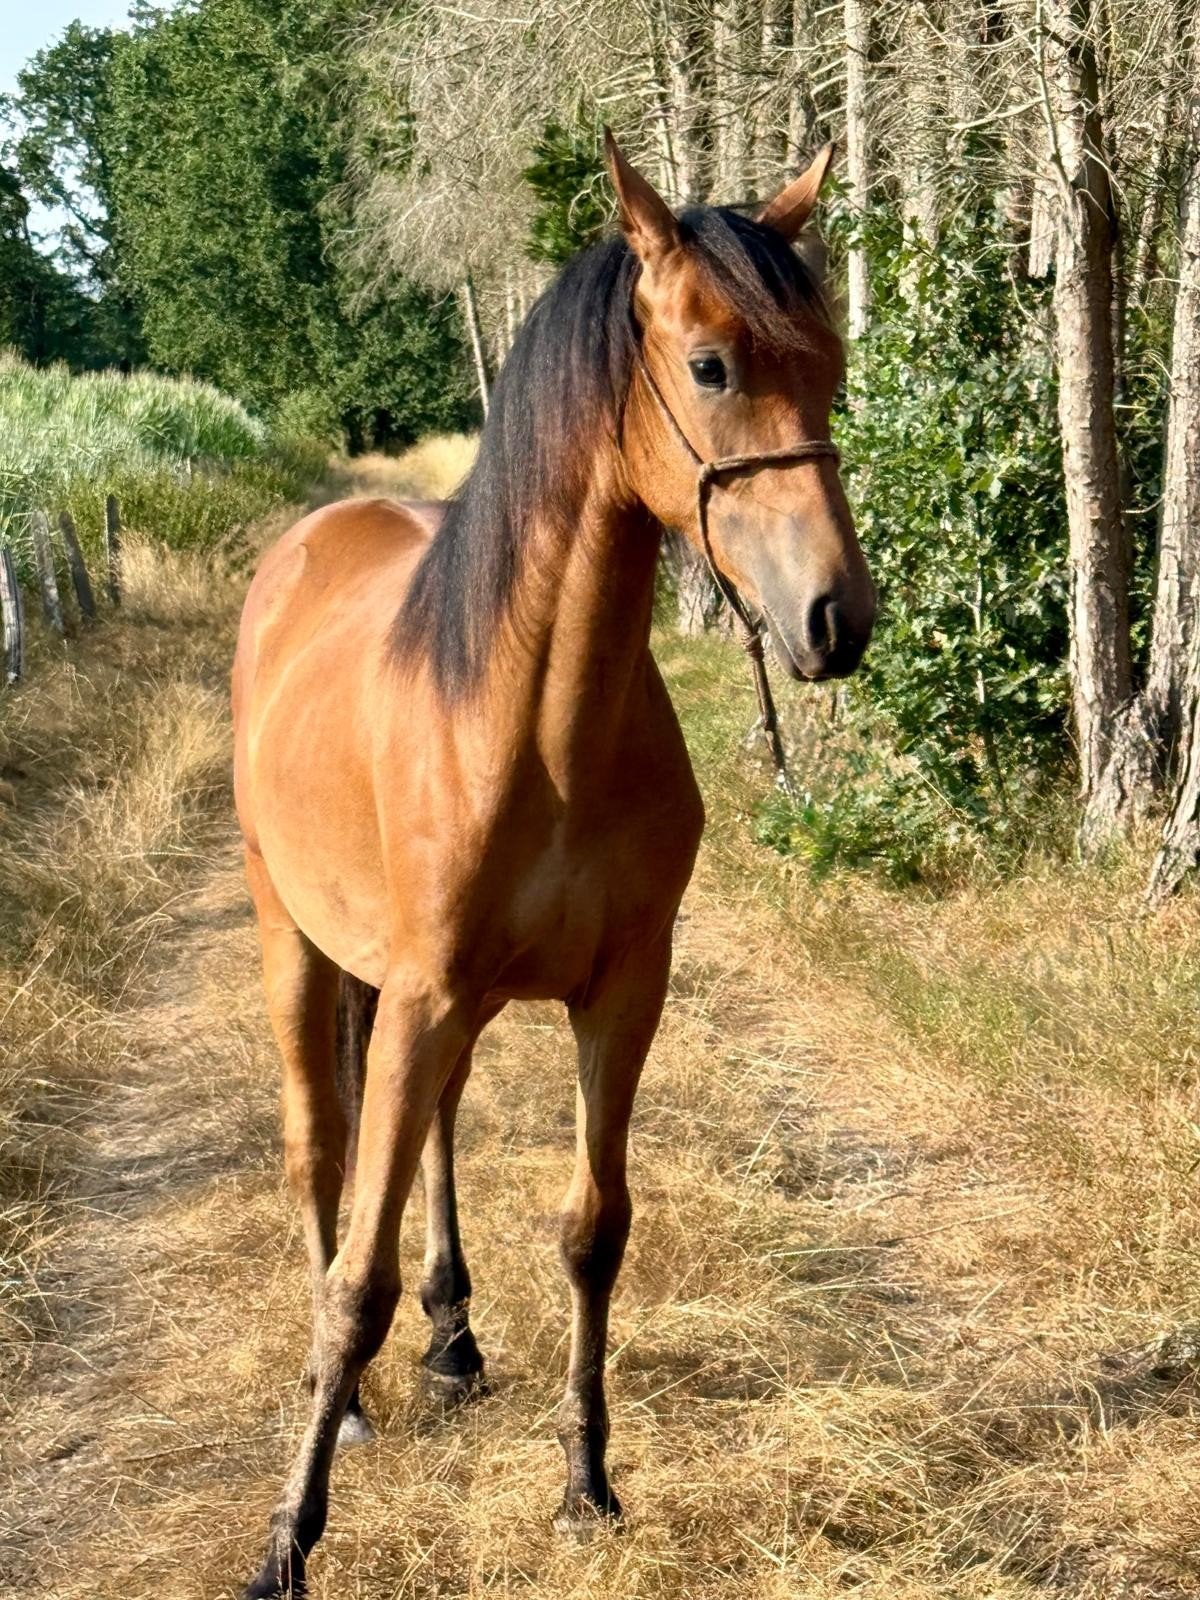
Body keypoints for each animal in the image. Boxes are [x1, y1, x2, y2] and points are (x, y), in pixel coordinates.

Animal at [231, 130, 875, 1596]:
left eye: (829, 362)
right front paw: (289, 1535)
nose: (835, 619)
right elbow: (352, 1275)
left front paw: (587, 1478)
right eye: (711, 364)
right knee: (319, 1149)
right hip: (301, 947)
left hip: (435, 1005)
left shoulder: (618, 993)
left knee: (434, 1136)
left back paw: (455, 1335)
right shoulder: (419, 996)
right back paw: (358, 1403)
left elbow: (593, 1231)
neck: (540, 724)